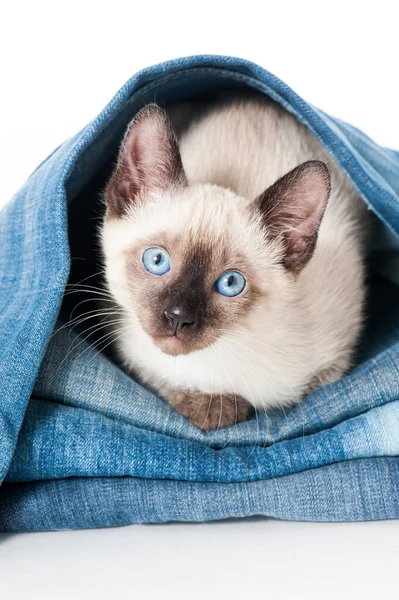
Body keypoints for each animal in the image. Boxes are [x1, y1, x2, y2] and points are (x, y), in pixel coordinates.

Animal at [99, 92, 368, 432]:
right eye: (157, 260)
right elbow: (170, 385)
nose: (177, 318)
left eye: (230, 283)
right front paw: (210, 407)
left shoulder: (335, 359)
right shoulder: (132, 349)